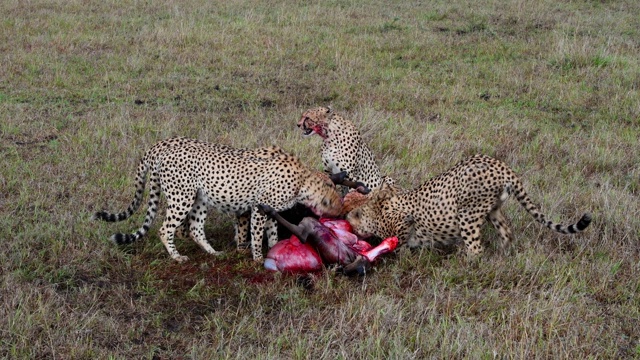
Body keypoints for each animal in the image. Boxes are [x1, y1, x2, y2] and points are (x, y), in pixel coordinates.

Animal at [94, 136, 344, 262]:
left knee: (195, 228)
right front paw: (256, 258)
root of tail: (162, 148)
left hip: (199, 199)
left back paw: (213, 253)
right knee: (165, 229)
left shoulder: (272, 211)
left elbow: (272, 233)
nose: (340, 210)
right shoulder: (258, 208)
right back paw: (177, 257)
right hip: (181, 198)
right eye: (334, 200)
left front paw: (275, 249)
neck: (302, 181)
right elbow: (255, 234)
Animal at [348, 155, 592, 256]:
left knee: (476, 248)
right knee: (506, 232)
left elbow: (402, 237)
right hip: (492, 209)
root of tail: (502, 166)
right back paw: (502, 254)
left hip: (467, 214)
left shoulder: (402, 219)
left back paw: (465, 262)